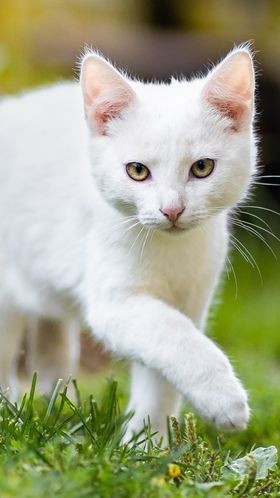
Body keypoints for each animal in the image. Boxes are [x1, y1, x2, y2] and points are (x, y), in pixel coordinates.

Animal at [0, 44, 256, 438]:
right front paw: (224, 402)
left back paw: (49, 400)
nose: (172, 210)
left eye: (202, 168)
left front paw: (149, 440)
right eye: (137, 171)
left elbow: (161, 375)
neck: (170, 250)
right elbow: (175, 336)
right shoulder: (116, 305)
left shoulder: (191, 299)